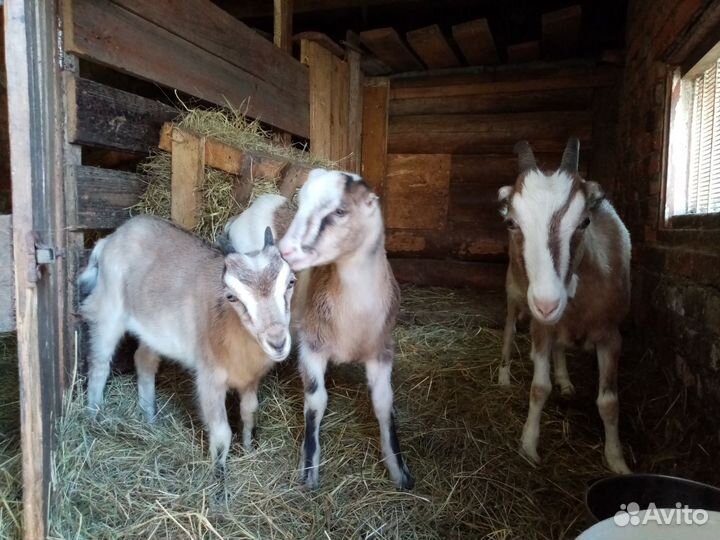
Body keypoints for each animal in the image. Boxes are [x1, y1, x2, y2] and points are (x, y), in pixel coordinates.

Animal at [78, 215, 295, 475]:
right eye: (231, 296)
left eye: (291, 282)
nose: (277, 342)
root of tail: (111, 238)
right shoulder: (209, 378)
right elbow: (221, 433)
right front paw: (218, 479)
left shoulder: (250, 379)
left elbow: (249, 412)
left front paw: (249, 450)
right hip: (108, 311)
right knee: (99, 363)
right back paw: (93, 417)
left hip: (153, 330)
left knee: (144, 361)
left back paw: (149, 418)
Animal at [228, 169, 414, 489]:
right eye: (302, 202)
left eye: (339, 211)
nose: (285, 251)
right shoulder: (311, 348)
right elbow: (317, 401)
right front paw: (309, 472)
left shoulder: (381, 351)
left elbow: (383, 402)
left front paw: (400, 473)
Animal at [497, 138, 631, 475]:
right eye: (512, 222)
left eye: (584, 221)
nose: (547, 303)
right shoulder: (540, 327)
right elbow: (539, 388)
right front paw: (529, 446)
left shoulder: (611, 335)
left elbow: (609, 402)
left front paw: (617, 460)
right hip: (514, 293)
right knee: (509, 329)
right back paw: (504, 375)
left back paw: (566, 382)